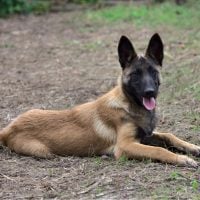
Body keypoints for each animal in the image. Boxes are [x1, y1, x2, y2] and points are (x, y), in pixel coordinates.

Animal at [0, 33, 200, 167]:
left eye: (153, 72)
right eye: (135, 74)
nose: (149, 92)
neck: (129, 105)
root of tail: (8, 128)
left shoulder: (145, 135)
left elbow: (169, 135)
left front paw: (193, 148)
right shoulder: (125, 146)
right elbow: (159, 150)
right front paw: (183, 158)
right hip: (42, 150)